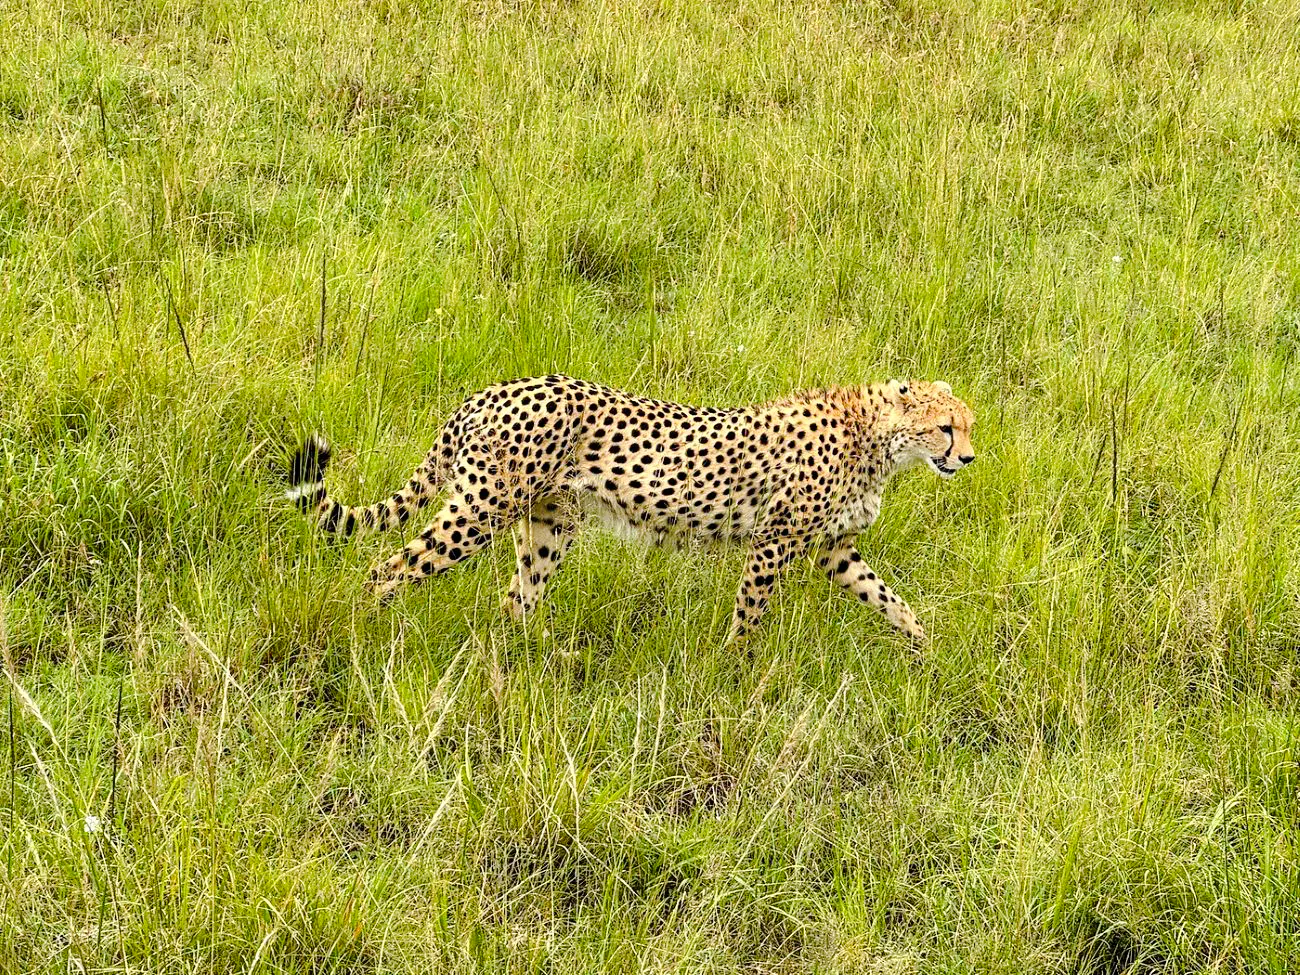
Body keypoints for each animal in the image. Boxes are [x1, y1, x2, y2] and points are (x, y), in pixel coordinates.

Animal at [286, 374, 975, 643]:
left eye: (967, 426)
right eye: (946, 428)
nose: (967, 458)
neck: (879, 439)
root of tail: (488, 392)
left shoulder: (835, 549)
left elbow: (888, 598)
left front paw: (926, 647)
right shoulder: (774, 542)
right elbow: (749, 617)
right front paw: (738, 670)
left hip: (548, 523)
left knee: (515, 601)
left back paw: (535, 659)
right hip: (481, 510)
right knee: (389, 569)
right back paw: (360, 632)